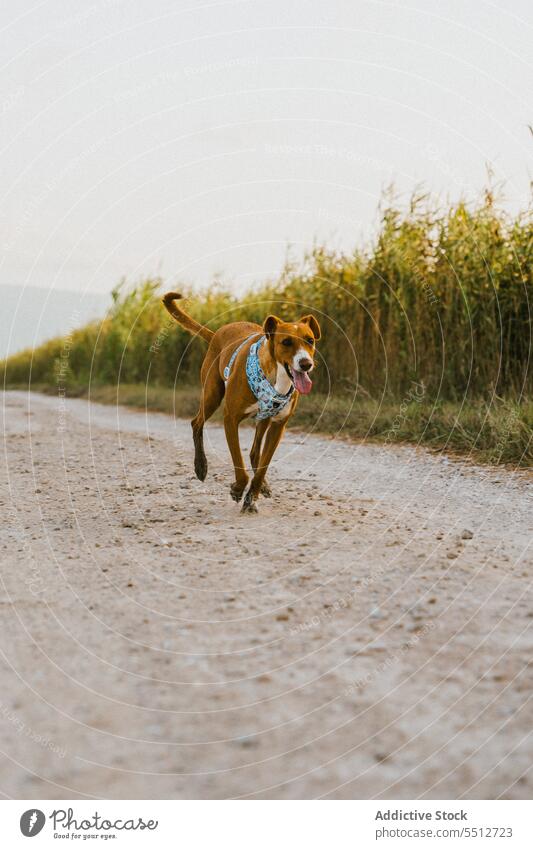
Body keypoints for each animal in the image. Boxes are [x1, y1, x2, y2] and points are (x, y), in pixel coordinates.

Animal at [161, 294, 320, 512]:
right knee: (197, 423)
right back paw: (201, 466)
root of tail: (216, 333)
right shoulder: (231, 418)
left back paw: (262, 486)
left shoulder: (278, 426)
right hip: (212, 395)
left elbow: (262, 467)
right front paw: (238, 489)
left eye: (310, 340)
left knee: (254, 453)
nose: (306, 364)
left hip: (263, 419)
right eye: (286, 342)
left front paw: (252, 495)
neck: (274, 376)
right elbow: (238, 461)